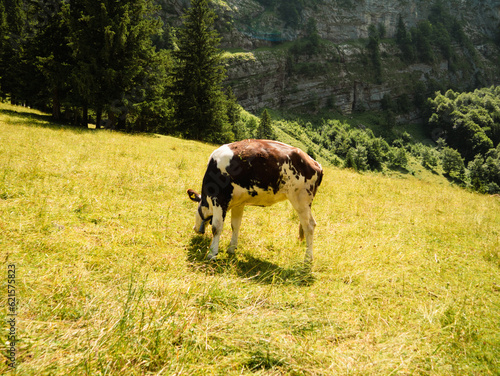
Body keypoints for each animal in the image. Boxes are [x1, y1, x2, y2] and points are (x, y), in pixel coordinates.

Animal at [188, 140, 324, 262]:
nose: (195, 228)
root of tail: (315, 163)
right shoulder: (238, 203)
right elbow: (235, 225)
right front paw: (231, 249)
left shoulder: (219, 199)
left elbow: (216, 227)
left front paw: (212, 254)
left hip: (301, 200)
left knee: (309, 226)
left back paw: (308, 258)